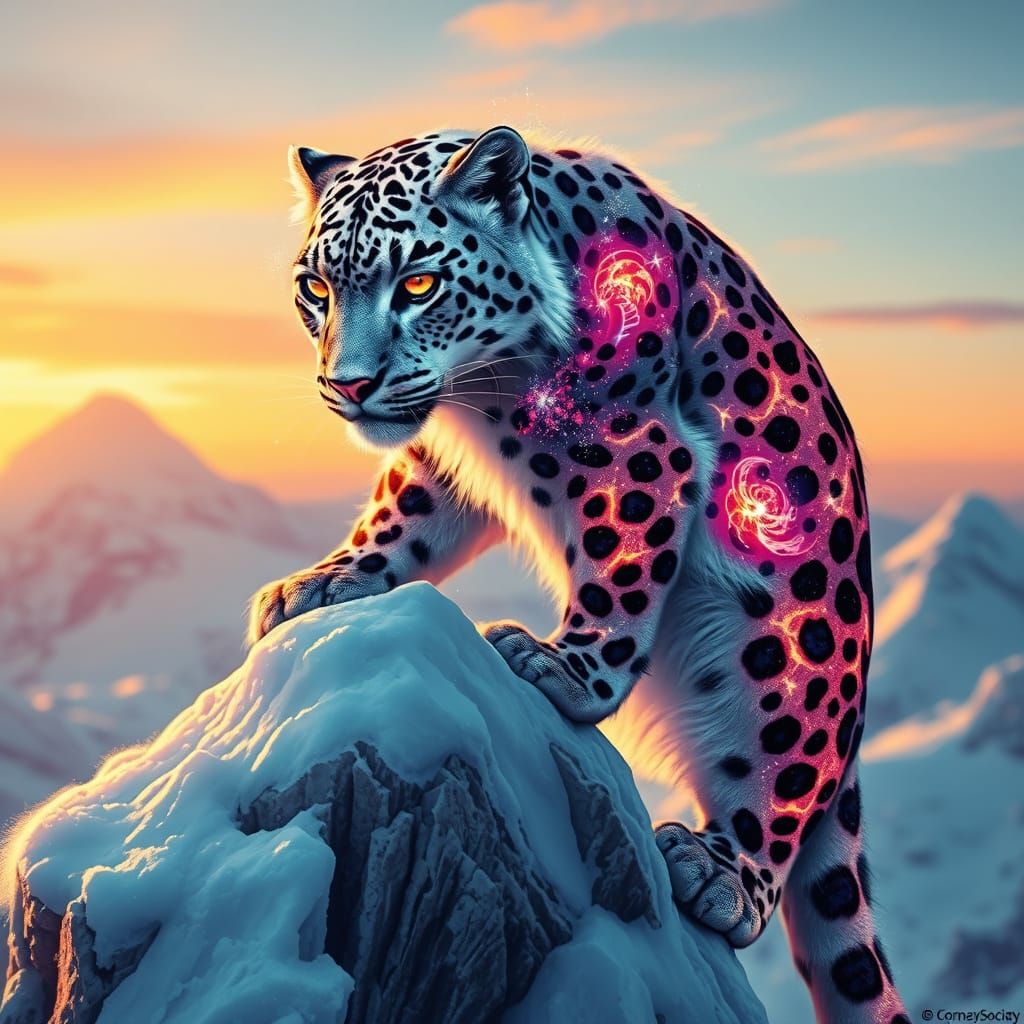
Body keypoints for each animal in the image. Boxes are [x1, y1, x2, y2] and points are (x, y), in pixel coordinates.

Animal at [249, 125, 908, 1024]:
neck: (487, 396)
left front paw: (565, 667)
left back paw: (720, 875)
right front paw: (322, 583)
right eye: (316, 287)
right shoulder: (438, 460)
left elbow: (623, 567)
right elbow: (401, 515)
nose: (349, 384)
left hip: (785, 648)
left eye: (418, 281)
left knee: (782, 770)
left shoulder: (641, 454)